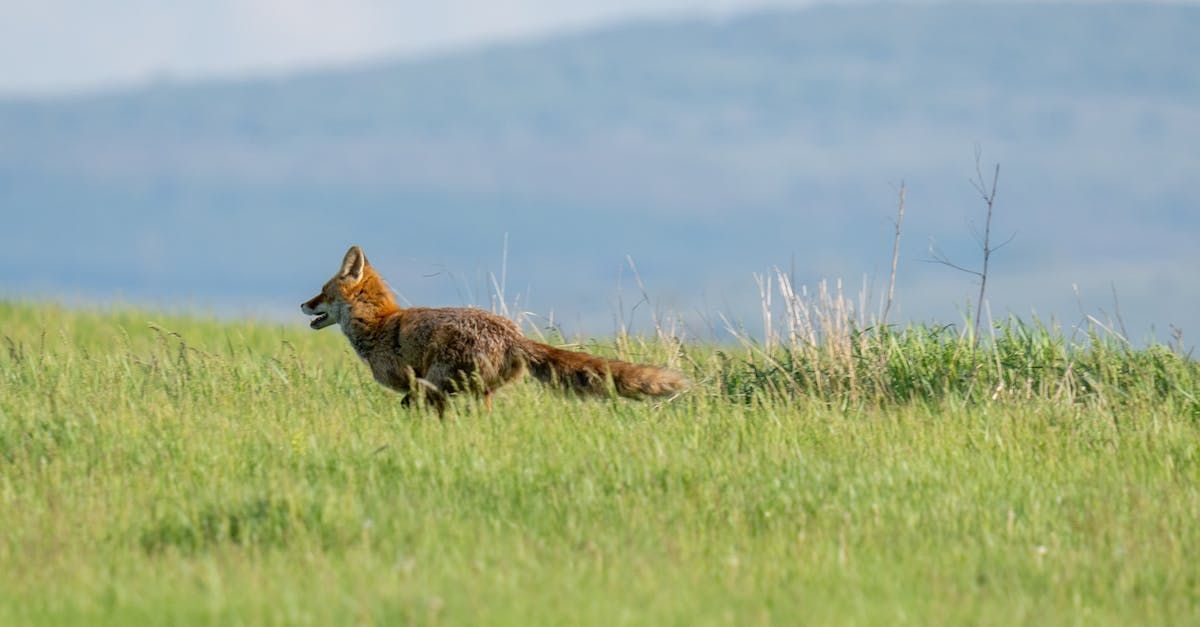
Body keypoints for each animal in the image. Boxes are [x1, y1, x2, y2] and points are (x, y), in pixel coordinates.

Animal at [301, 246, 688, 416]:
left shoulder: (420, 385)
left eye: (322, 292)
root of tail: (514, 336)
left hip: (448, 380)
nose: (303, 305)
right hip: (479, 390)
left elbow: (411, 406)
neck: (379, 326)